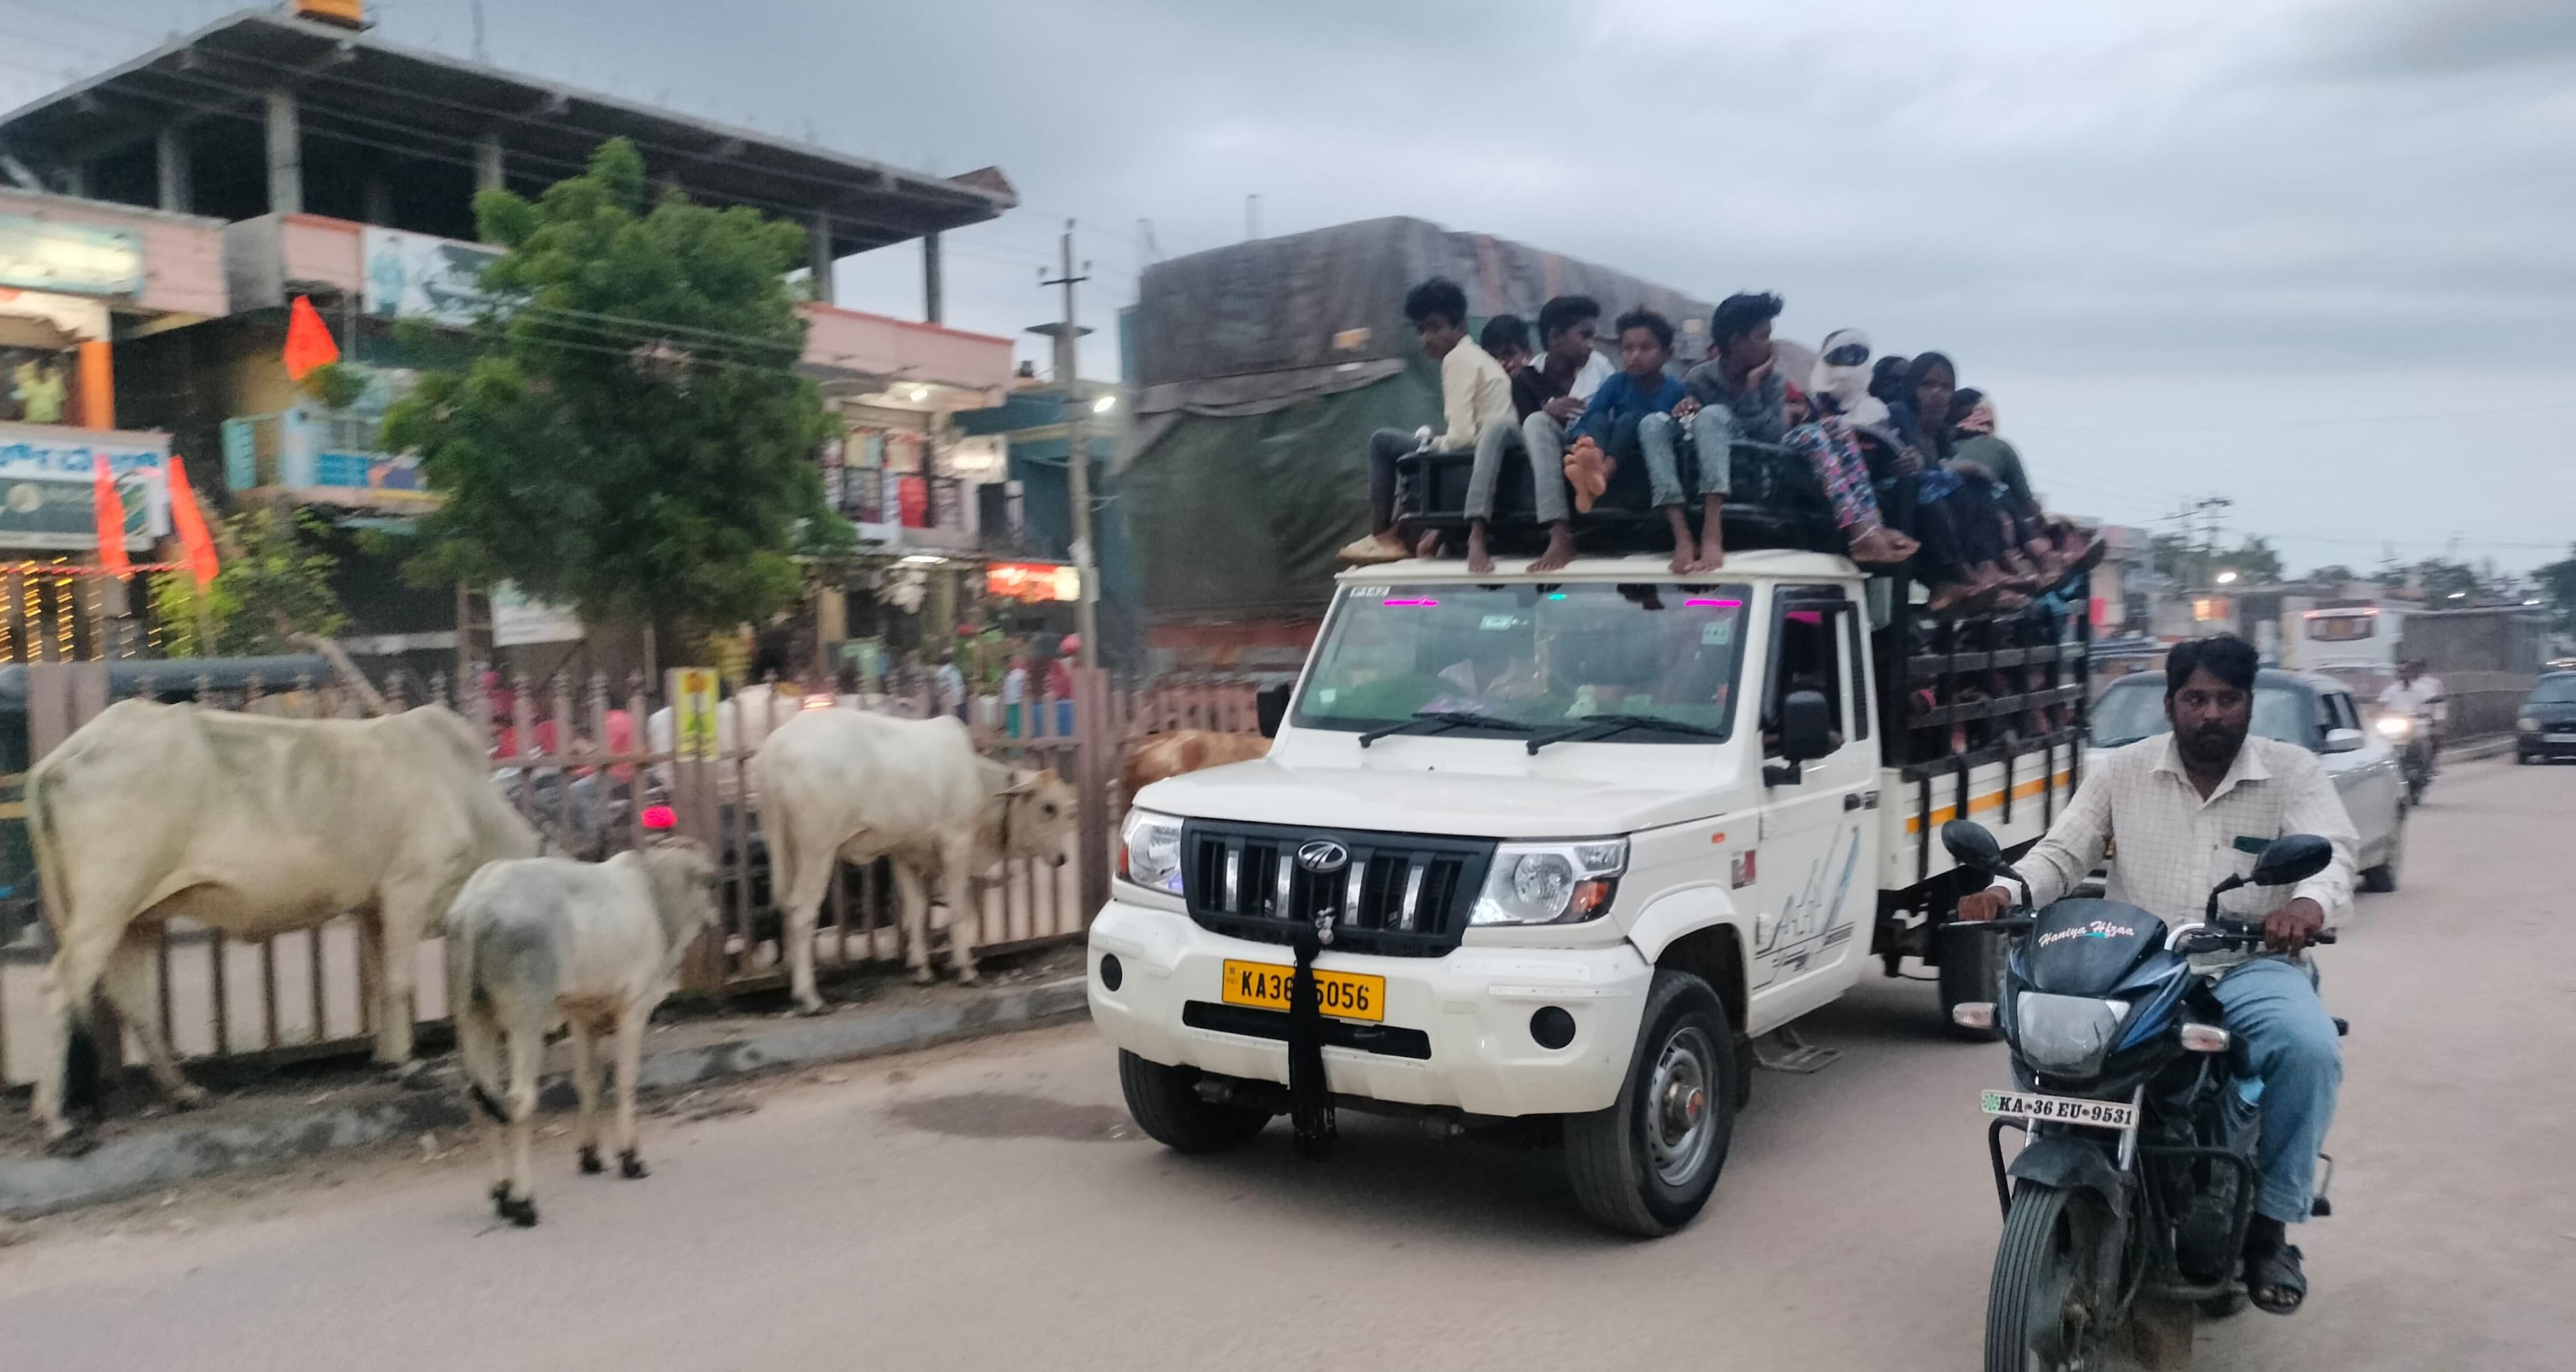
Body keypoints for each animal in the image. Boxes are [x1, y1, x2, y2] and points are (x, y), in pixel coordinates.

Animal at [22, 701, 535, 1150]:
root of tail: (58, 760)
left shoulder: (375, 906)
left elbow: (378, 982)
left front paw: (387, 1058)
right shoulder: (409, 886)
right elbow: (398, 983)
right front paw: (408, 1068)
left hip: (135, 918)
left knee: (134, 1002)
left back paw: (184, 1092)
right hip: (106, 904)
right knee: (60, 987)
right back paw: (58, 1124)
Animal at [443, 841, 721, 1227]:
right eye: (713, 883)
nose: (717, 918)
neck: (654, 895)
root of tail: (474, 907)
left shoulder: (582, 1017)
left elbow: (588, 1081)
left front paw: (590, 1156)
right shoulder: (634, 1008)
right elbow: (625, 1081)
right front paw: (630, 1158)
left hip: (472, 1020)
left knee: (479, 1101)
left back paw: (501, 1193)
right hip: (526, 1020)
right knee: (518, 1100)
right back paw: (523, 1201)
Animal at [752, 706, 1076, 1005]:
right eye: (1048, 808)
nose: (1062, 858)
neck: (979, 783)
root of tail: (774, 748)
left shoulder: (906, 856)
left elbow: (917, 910)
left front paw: (922, 970)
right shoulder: (956, 845)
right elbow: (959, 910)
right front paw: (966, 970)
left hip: (786, 850)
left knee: (787, 908)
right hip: (817, 850)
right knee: (802, 911)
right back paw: (810, 998)